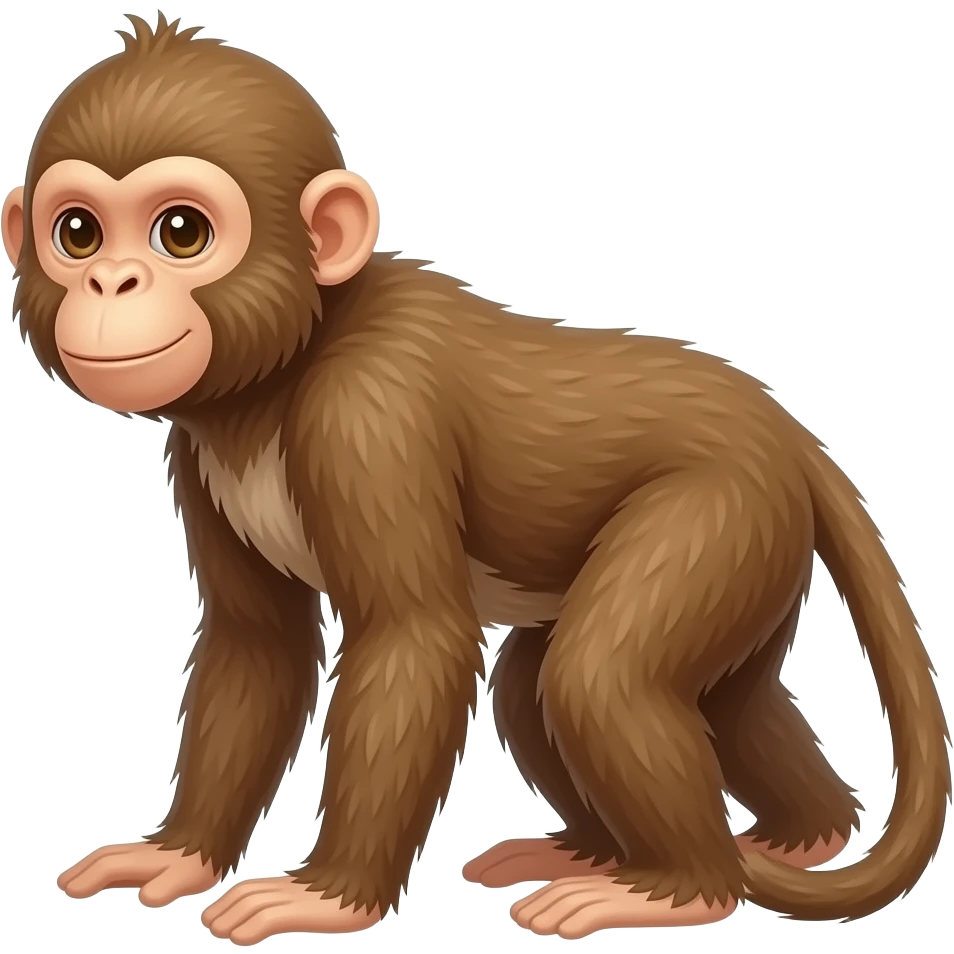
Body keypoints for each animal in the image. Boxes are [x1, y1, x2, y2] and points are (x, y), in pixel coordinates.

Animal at [4, 13, 949, 944]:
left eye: (181, 233)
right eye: (78, 233)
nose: (112, 280)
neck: (283, 370)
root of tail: (781, 425)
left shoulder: (369, 417)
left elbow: (413, 638)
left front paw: (329, 897)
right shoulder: (198, 458)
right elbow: (257, 645)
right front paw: (181, 854)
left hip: (725, 513)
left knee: (600, 675)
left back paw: (681, 887)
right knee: (648, 696)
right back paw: (741, 838)